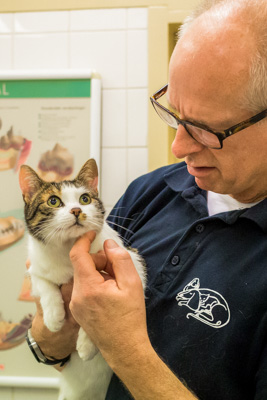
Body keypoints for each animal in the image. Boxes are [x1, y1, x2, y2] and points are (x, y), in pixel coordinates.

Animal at [19, 159, 147, 400]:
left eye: (85, 199)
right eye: (53, 201)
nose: (77, 210)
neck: (67, 251)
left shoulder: (134, 262)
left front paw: (87, 345)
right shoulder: (35, 267)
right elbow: (45, 284)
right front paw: (54, 317)